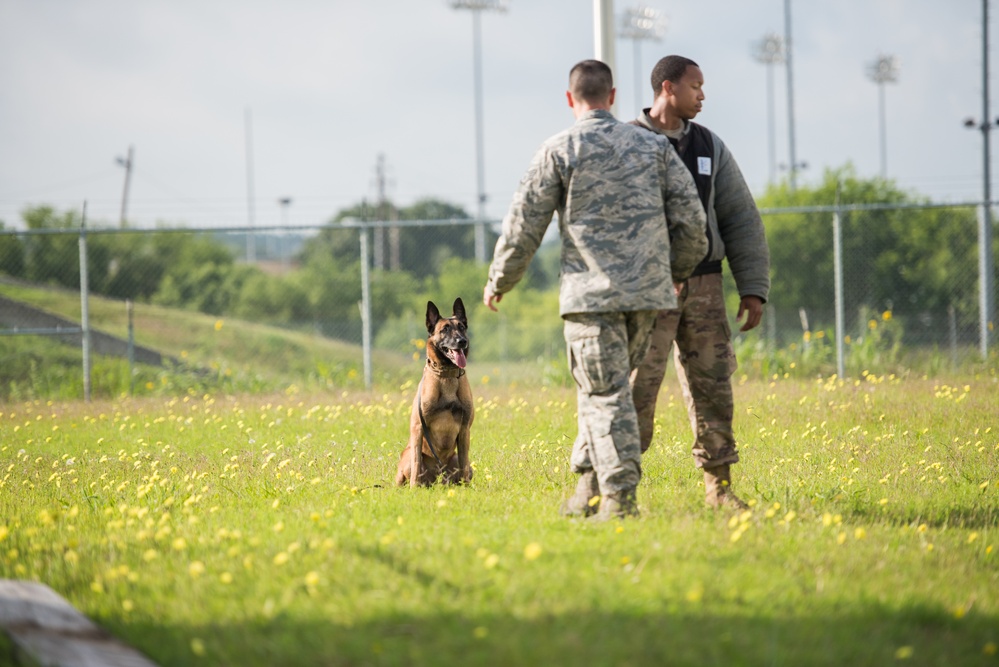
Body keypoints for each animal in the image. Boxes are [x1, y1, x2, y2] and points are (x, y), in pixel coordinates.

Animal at [394, 300, 476, 488]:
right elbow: (417, 464)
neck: (447, 375)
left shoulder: (464, 429)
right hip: (406, 457)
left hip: (457, 462)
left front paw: (467, 489)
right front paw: (413, 488)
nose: (461, 341)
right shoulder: (418, 428)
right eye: (444, 329)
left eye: (461, 327)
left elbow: (464, 463)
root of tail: (438, 479)